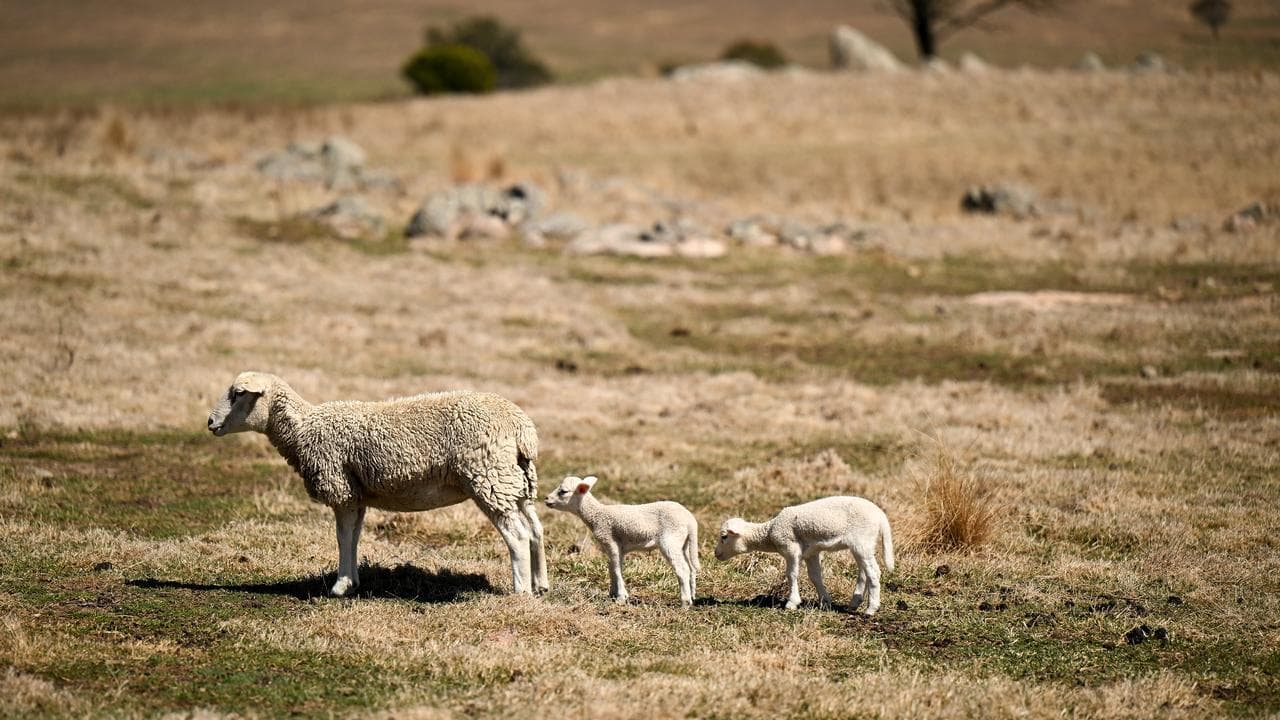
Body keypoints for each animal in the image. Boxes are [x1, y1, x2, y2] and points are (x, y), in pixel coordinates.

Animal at [206, 371, 548, 597]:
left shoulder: (340, 487)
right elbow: (354, 537)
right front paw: (353, 581)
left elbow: (342, 537)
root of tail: (523, 429)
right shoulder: (356, 495)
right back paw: (540, 584)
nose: (210, 422)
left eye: (238, 393)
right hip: (515, 482)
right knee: (534, 530)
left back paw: (520, 592)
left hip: (489, 477)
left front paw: (340, 586)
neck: (303, 430)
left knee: (517, 535)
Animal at [544, 475, 699, 606]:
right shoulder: (618, 547)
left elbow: (616, 569)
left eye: (563, 491)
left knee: (682, 569)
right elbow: (612, 567)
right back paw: (692, 596)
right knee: (690, 568)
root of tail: (690, 520)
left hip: (670, 540)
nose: (546, 498)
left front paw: (621, 597)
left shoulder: (610, 540)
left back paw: (685, 602)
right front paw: (612, 593)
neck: (597, 515)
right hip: (683, 543)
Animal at [715, 496, 893, 614]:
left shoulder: (791, 548)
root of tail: (881, 516)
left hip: (862, 540)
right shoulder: (810, 553)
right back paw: (855, 603)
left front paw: (792, 602)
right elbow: (815, 576)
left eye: (724, 537)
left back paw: (871, 608)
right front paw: (825, 601)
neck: (770, 532)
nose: (716, 554)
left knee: (874, 572)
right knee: (864, 571)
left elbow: (792, 574)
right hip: (864, 544)